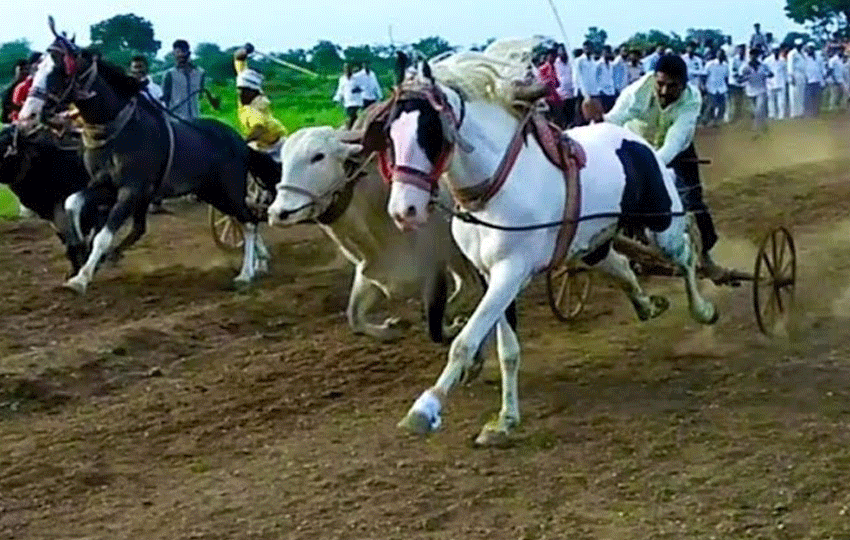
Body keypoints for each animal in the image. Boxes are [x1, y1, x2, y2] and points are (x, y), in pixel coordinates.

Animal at [264, 127, 484, 342]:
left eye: (318, 156)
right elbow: (355, 318)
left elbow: (434, 325)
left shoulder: (435, 269)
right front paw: (390, 329)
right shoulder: (370, 273)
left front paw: (450, 327)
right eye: (283, 160)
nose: (278, 213)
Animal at [384, 48, 716, 446]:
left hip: (661, 224)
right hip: (593, 241)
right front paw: (505, 420)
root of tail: (643, 145)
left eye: (430, 131)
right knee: (619, 264)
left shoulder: (510, 272)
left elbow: (466, 341)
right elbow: (507, 349)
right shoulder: (490, 275)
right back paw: (647, 304)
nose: (404, 211)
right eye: (389, 132)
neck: (496, 190)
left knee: (686, 254)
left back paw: (702, 309)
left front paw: (425, 409)